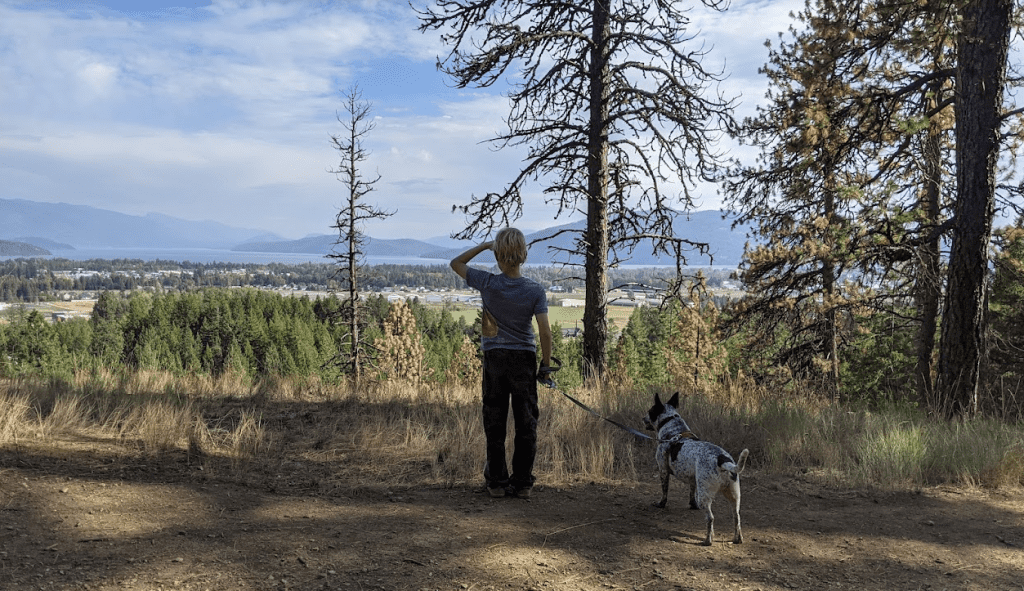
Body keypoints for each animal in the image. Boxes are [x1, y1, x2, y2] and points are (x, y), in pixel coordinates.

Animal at [643, 391, 749, 544]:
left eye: (650, 411)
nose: (642, 418)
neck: (673, 431)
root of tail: (722, 461)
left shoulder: (663, 471)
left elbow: (664, 492)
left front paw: (661, 504)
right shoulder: (693, 479)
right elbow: (691, 493)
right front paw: (692, 505)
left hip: (705, 495)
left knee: (710, 518)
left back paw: (707, 540)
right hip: (734, 496)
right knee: (737, 517)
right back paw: (737, 539)